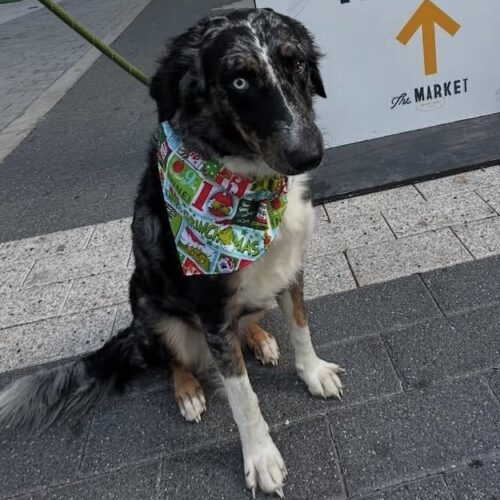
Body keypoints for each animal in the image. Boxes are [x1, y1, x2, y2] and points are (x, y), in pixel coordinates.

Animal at [0, 7, 344, 496]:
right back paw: (188, 391)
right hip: (152, 309)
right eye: (239, 81)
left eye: (294, 62)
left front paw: (311, 372)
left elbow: (300, 326)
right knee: (171, 361)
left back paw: (259, 338)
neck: (251, 186)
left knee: (249, 324)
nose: (308, 155)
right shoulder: (212, 311)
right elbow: (243, 396)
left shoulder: (291, 266)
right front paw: (261, 458)